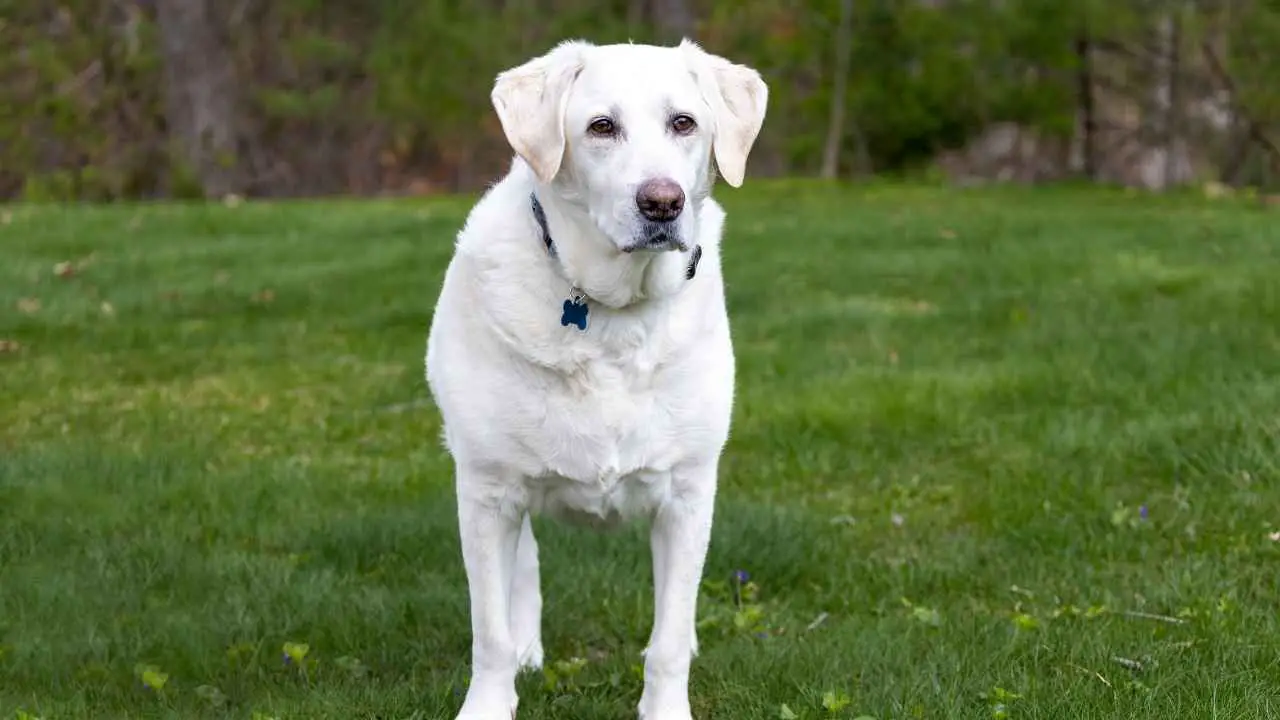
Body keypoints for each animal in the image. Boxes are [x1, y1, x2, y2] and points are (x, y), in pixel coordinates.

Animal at [430, 40, 768, 717]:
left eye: (684, 123)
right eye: (601, 127)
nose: (662, 202)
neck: (616, 313)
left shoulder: (689, 494)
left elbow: (668, 637)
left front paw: (667, 709)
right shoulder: (486, 492)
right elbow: (489, 631)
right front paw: (489, 702)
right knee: (524, 572)